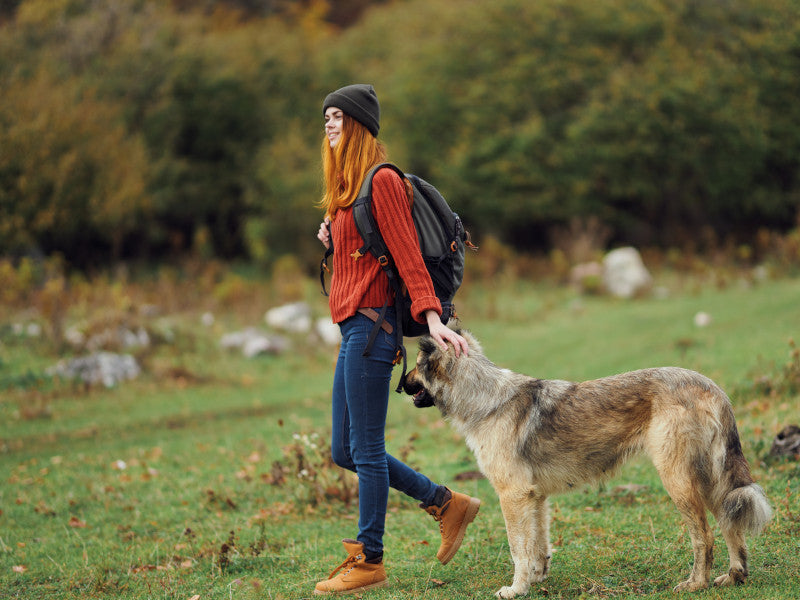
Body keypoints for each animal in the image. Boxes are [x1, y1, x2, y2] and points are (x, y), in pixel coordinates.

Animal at [404, 330, 772, 596]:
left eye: (416, 366)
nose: (399, 384)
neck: (486, 401)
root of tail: (712, 386)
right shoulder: (535, 497)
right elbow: (538, 545)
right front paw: (536, 579)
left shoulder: (513, 496)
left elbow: (517, 548)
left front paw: (516, 589)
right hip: (711, 482)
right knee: (730, 525)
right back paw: (734, 576)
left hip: (678, 482)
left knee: (705, 537)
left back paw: (696, 584)